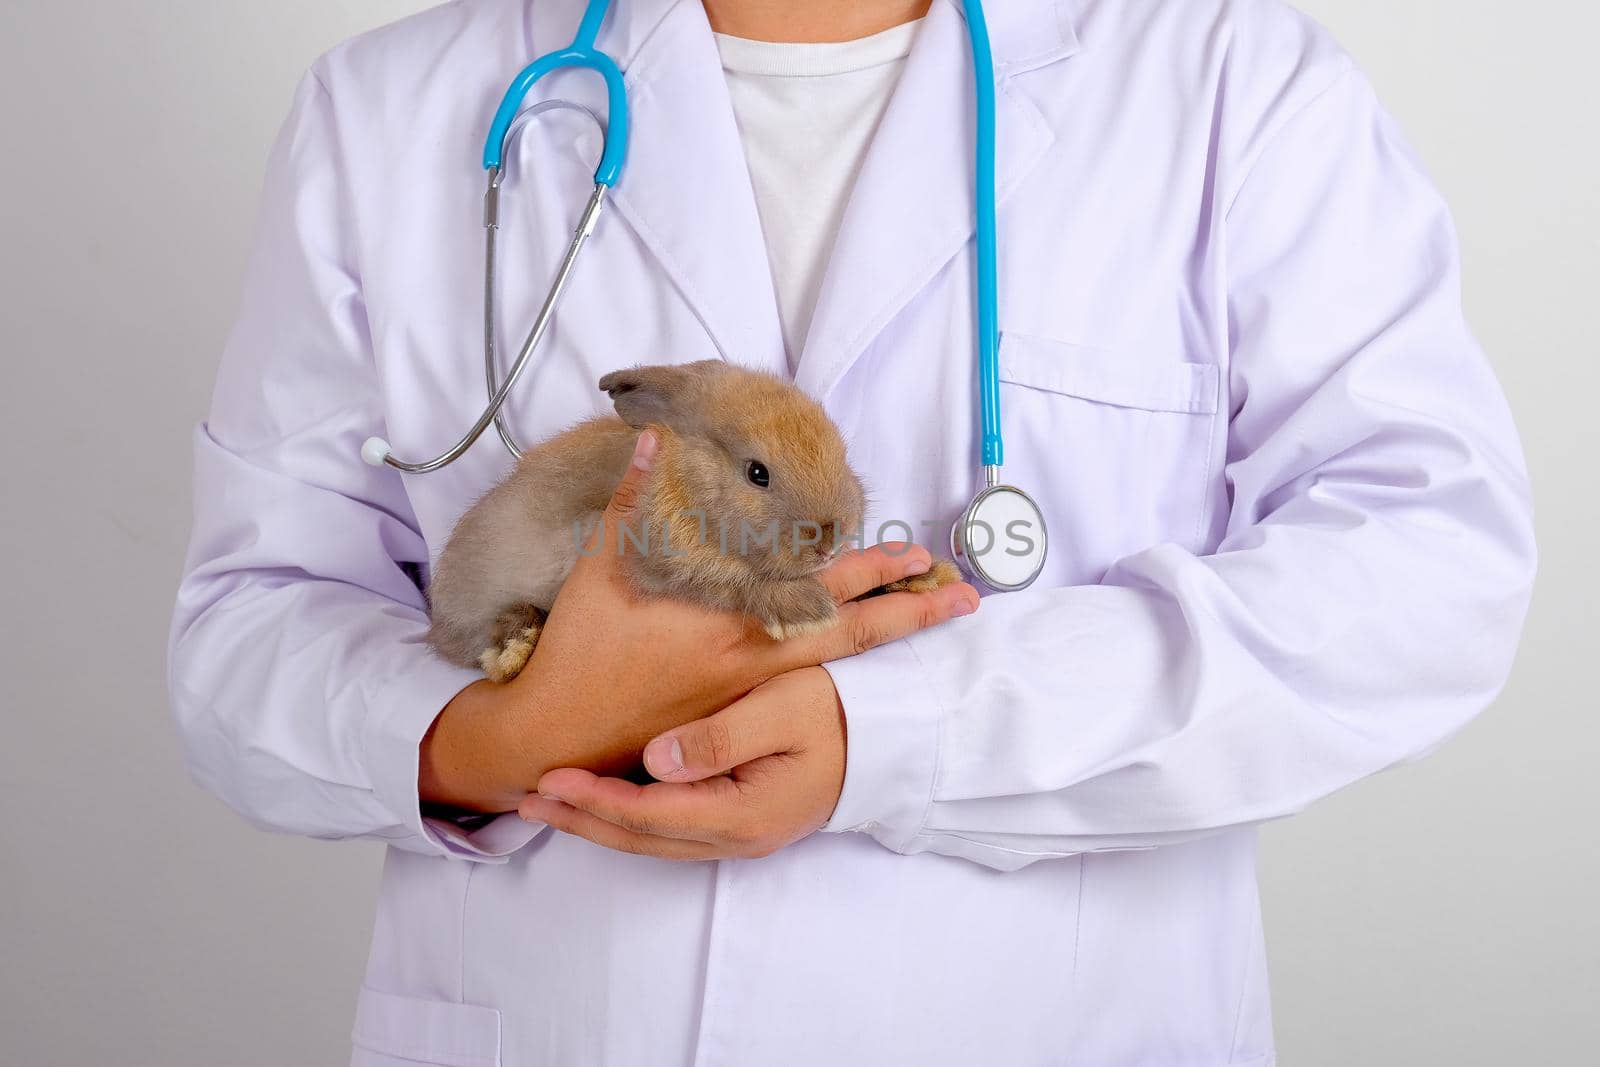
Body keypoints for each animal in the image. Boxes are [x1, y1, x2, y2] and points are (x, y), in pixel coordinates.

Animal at [425, 363, 960, 684]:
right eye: (757, 473)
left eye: (840, 450)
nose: (829, 537)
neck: (685, 478)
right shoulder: (661, 562)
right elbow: (727, 579)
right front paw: (802, 609)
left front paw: (925, 576)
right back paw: (515, 648)